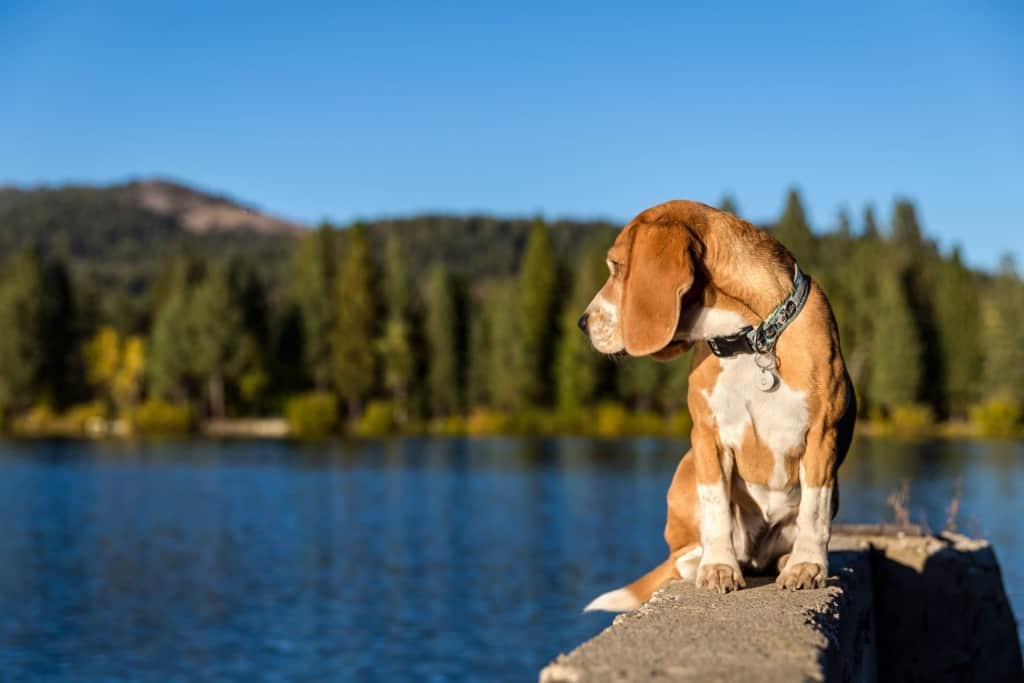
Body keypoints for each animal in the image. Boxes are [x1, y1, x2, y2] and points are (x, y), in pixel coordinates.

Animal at [581, 198, 851, 610]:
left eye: (616, 266)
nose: (582, 323)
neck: (751, 337)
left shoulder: (822, 434)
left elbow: (814, 509)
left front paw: (807, 565)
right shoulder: (707, 438)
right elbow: (716, 508)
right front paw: (719, 567)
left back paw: (787, 559)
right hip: (685, 468)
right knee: (680, 557)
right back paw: (702, 561)